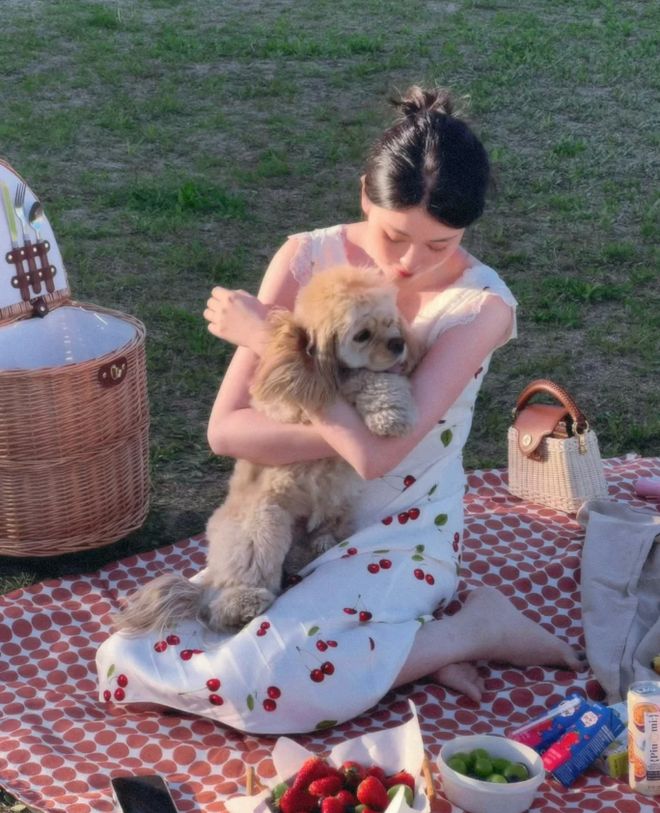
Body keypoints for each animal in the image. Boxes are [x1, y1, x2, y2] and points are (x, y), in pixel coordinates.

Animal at [114, 265, 420, 635]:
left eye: (391, 322)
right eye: (362, 334)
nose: (398, 344)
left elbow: (381, 379)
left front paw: (394, 409)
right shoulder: (301, 407)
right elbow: (362, 379)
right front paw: (390, 415)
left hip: (334, 512)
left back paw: (319, 545)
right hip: (262, 526)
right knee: (226, 600)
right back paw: (244, 605)